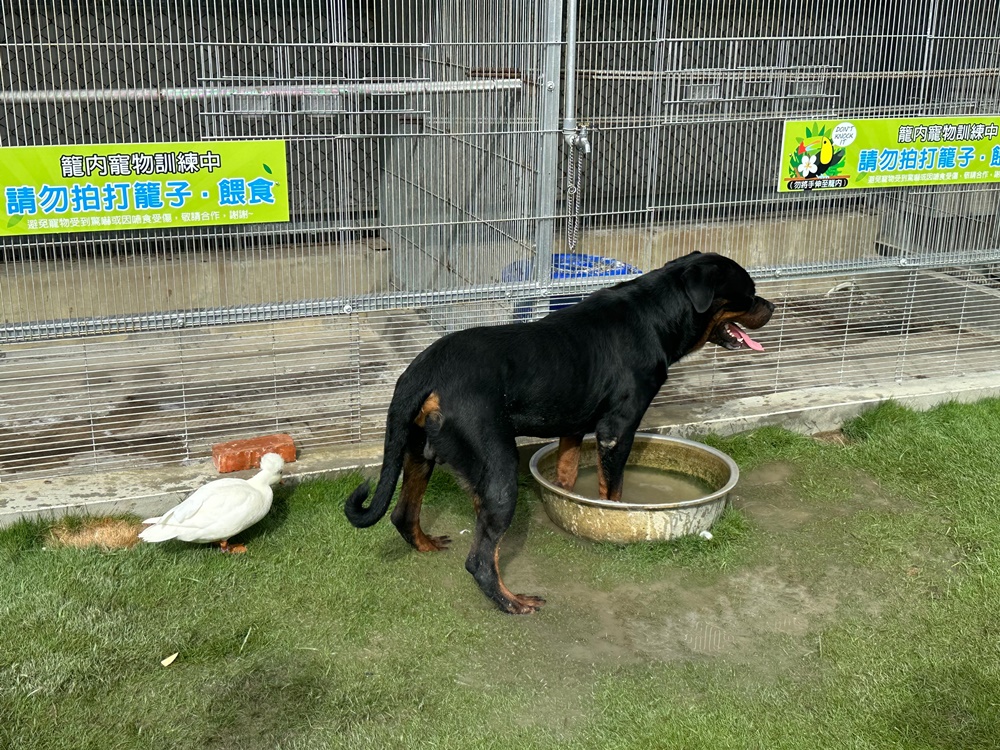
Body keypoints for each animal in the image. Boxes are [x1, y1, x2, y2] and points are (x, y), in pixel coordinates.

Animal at [348, 253, 776, 616]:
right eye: (749, 293)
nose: (771, 307)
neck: (657, 314)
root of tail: (424, 370)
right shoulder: (617, 429)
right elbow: (613, 490)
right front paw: (613, 518)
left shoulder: (573, 428)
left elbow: (568, 476)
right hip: (498, 467)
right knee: (480, 560)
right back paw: (512, 602)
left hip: (420, 451)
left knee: (404, 514)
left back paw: (427, 544)